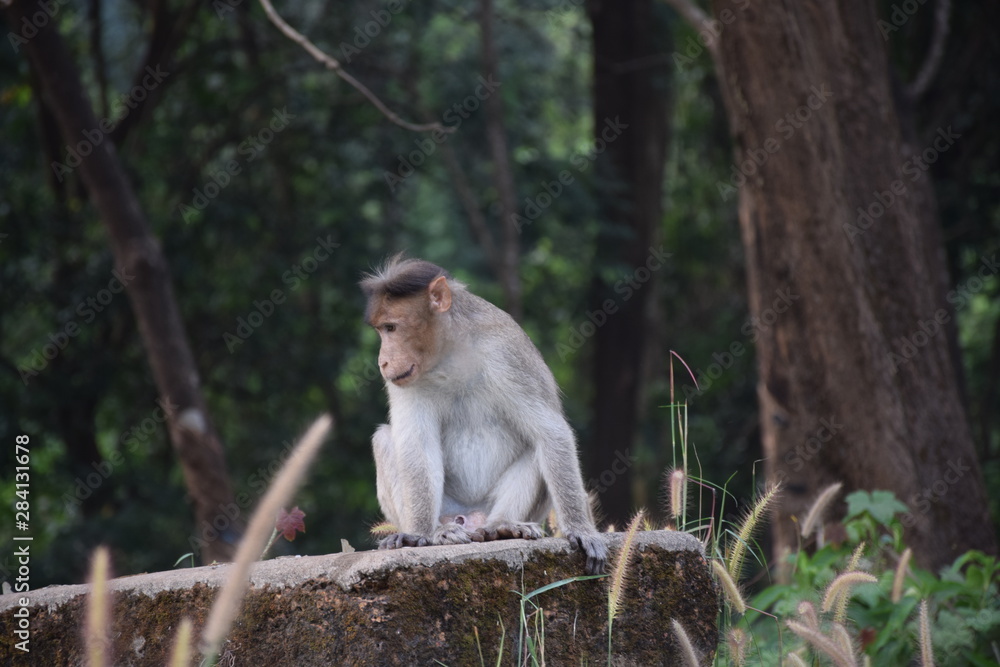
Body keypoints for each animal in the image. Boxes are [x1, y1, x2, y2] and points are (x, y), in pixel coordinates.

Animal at [361, 255, 608, 574]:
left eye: (391, 327)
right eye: (381, 330)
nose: (383, 362)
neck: (449, 349)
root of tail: (471, 518)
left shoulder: (506, 351)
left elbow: (550, 432)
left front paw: (581, 529)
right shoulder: (404, 380)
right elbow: (417, 446)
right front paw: (417, 534)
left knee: (537, 446)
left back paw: (503, 526)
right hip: (449, 508)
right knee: (385, 439)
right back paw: (440, 532)